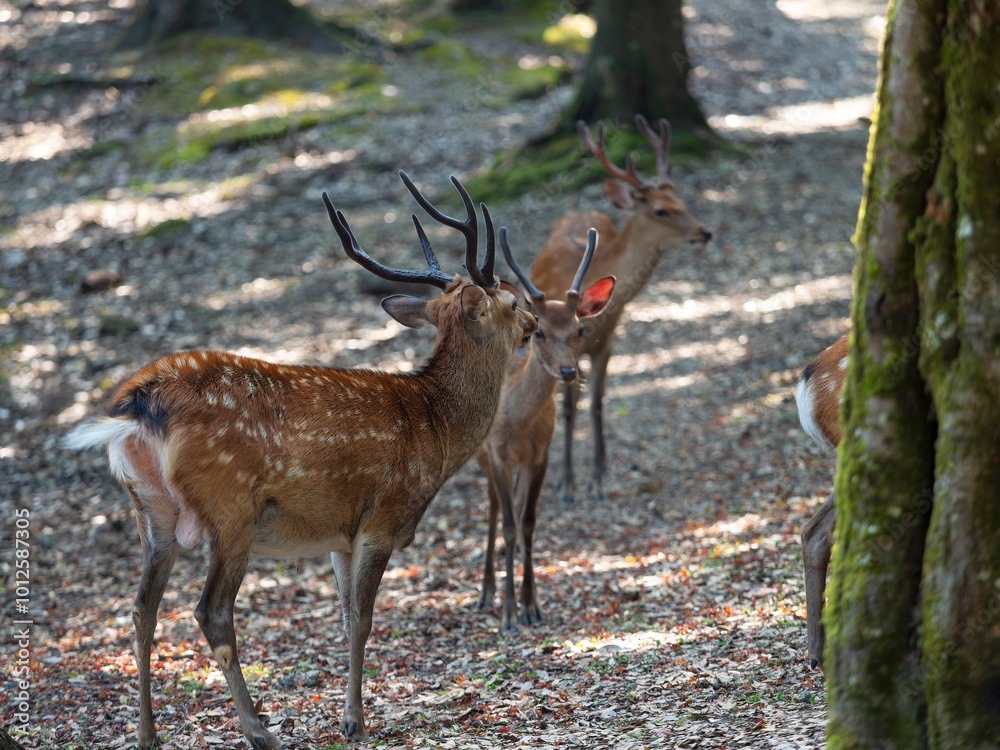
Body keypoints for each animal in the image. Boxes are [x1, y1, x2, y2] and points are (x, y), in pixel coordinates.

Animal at [62, 170, 538, 749]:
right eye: (509, 301)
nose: (535, 320)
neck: (434, 429)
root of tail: (135, 409)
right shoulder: (382, 514)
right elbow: (364, 621)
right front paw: (355, 721)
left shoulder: (339, 533)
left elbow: (345, 616)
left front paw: (349, 713)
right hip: (231, 508)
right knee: (210, 612)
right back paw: (259, 732)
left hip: (150, 509)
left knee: (141, 612)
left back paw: (147, 734)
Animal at [476, 226, 615, 634]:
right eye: (539, 333)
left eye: (579, 328)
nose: (569, 371)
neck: (518, 425)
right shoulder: (498, 455)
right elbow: (508, 524)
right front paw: (508, 614)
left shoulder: (541, 455)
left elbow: (528, 522)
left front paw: (531, 606)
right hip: (480, 454)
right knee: (493, 506)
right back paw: (486, 592)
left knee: (517, 505)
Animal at [530, 115, 713, 503]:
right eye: (661, 210)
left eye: (680, 199)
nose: (704, 232)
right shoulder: (564, 350)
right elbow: (568, 408)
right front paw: (567, 484)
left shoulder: (607, 343)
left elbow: (598, 404)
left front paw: (599, 477)